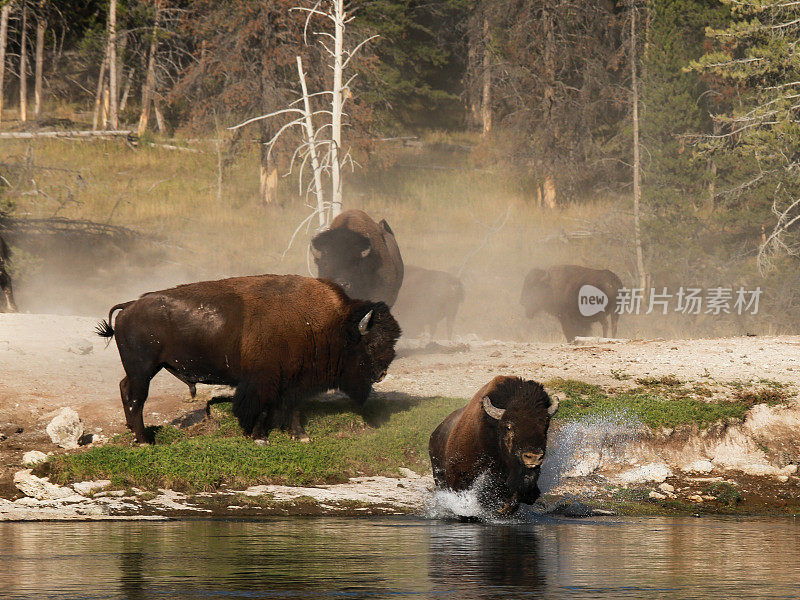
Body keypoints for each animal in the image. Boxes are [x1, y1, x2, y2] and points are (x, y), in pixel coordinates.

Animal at [97, 274, 404, 442]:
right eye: (372, 343)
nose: (382, 374)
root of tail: (130, 305)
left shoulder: (295, 382)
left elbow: (292, 408)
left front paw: (300, 436)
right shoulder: (262, 382)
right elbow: (261, 409)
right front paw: (258, 438)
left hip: (141, 369)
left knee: (125, 389)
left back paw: (134, 432)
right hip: (144, 369)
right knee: (136, 398)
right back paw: (145, 440)